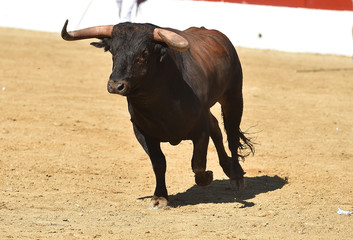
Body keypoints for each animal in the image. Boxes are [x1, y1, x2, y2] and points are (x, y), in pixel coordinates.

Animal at [60, 20, 253, 208]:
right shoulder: (142, 132)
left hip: (234, 96)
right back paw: (227, 167)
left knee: (232, 135)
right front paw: (160, 197)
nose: (116, 85)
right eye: (112, 51)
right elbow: (159, 163)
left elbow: (197, 164)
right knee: (217, 128)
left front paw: (208, 176)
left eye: (144, 53)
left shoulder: (200, 129)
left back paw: (236, 176)